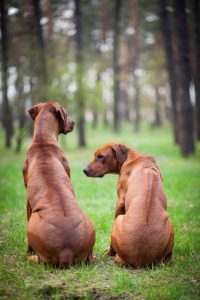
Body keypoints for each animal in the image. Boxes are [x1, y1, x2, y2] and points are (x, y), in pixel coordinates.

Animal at [22, 102, 95, 268]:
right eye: (67, 114)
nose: (73, 122)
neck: (43, 141)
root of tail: (65, 251)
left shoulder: (28, 201)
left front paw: (28, 251)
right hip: (90, 224)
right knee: (89, 257)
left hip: (33, 224)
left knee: (39, 259)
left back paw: (30, 257)